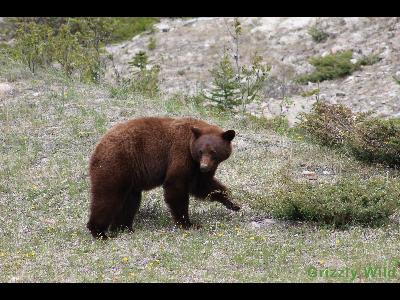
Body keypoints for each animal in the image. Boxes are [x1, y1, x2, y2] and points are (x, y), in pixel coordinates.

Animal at [86, 116, 239, 239]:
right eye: (201, 151)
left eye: (213, 152)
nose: (204, 167)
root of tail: (98, 147)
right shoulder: (181, 154)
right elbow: (176, 187)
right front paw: (188, 223)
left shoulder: (196, 168)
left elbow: (204, 186)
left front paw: (233, 203)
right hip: (116, 165)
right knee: (107, 198)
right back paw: (99, 232)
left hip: (130, 178)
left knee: (130, 202)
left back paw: (124, 228)